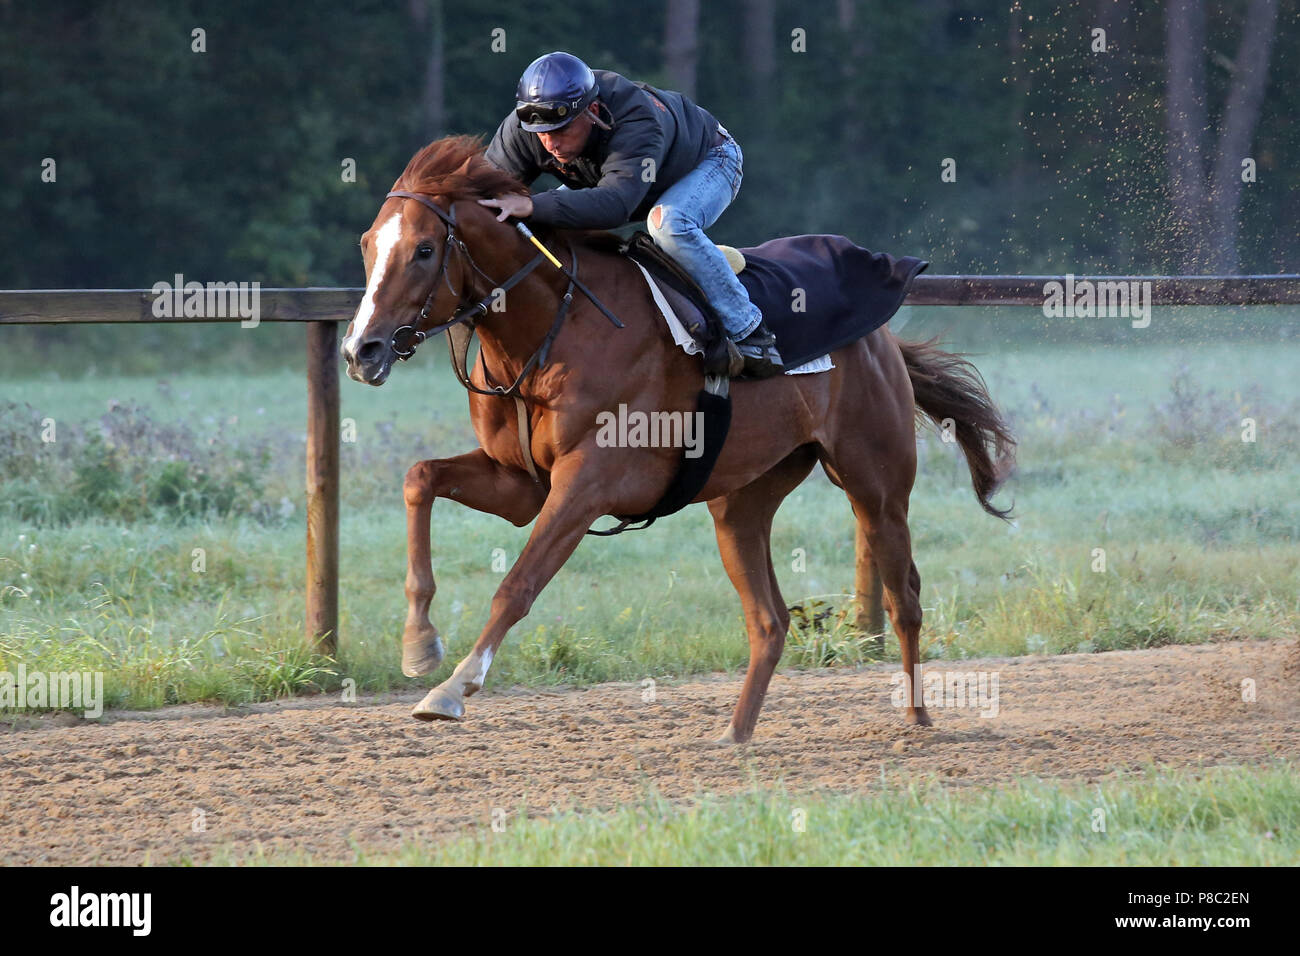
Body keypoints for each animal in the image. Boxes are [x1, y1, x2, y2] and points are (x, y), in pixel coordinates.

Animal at [338, 136, 1013, 749]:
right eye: (368, 244)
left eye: (425, 249)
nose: (360, 350)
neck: (553, 329)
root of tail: (883, 341)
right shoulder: (520, 483)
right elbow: (419, 478)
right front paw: (419, 644)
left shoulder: (588, 484)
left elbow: (518, 584)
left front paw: (452, 688)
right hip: (740, 502)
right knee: (768, 620)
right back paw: (735, 733)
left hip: (875, 484)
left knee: (905, 598)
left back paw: (917, 718)